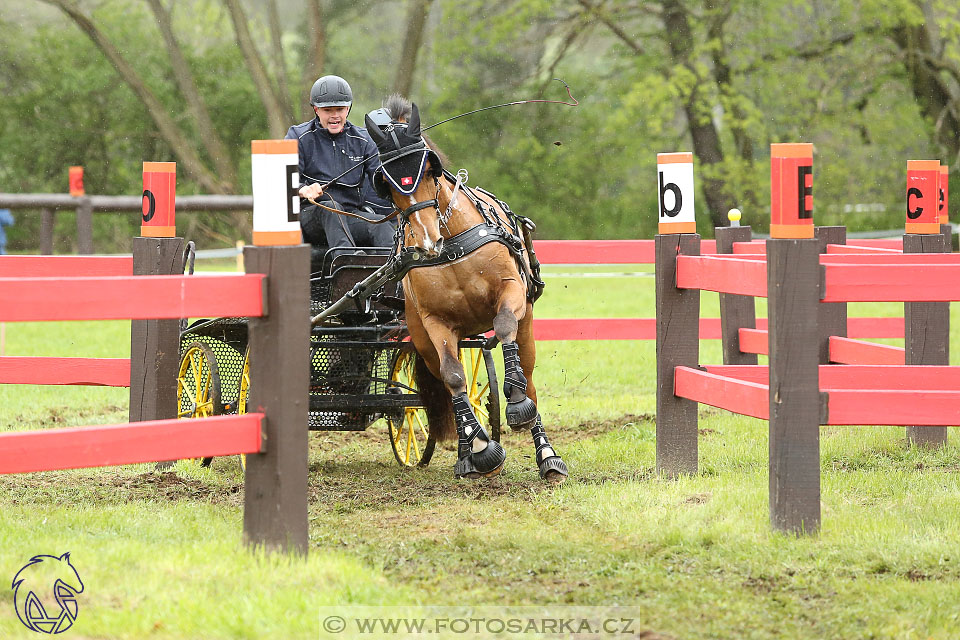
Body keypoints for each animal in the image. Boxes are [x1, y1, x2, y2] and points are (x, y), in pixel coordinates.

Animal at [364, 97, 568, 482]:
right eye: (386, 182)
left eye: (428, 169)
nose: (428, 240)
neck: (453, 246)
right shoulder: (435, 323)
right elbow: (454, 376)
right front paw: (478, 448)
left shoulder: (510, 293)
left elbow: (503, 327)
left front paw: (516, 402)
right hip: (427, 341)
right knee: (449, 387)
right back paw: (468, 452)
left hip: (526, 327)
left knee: (530, 378)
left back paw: (547, 454)